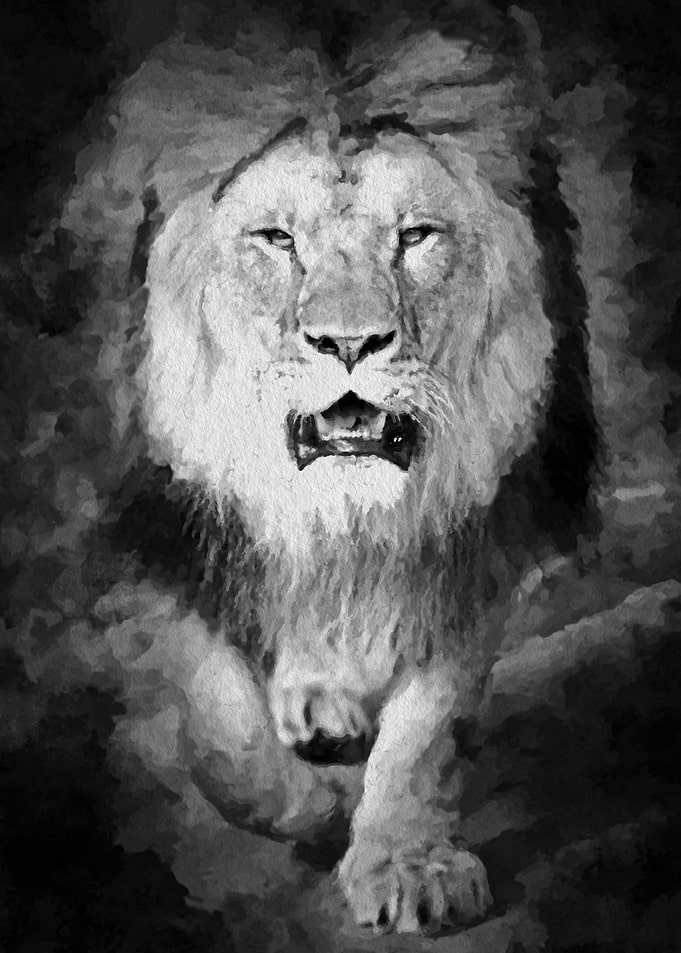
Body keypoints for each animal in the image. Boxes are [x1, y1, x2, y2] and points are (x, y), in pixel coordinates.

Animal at [8, 0, 611, 939]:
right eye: (277, 240)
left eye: (414, 237)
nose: (350, 342)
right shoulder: (173, 525)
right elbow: (223, 731)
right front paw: (320, 802)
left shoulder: (473, 526)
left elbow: (429, 724)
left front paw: (408, 860)